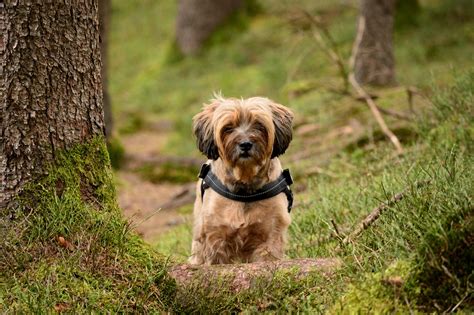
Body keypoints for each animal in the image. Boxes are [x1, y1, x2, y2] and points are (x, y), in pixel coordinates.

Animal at [188, 95, 292, 266]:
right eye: (228, 128)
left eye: (259, 125)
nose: (245, 144)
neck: (245, 189)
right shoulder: (215, 235)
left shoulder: (271, 232)